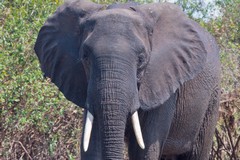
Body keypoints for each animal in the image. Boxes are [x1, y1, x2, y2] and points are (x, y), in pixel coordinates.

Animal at [34, 0, 221, 159]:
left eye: (141, 59)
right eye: (85, 57)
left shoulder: (164, 81)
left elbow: (144, 149)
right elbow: (92, 145)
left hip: (212, 99)